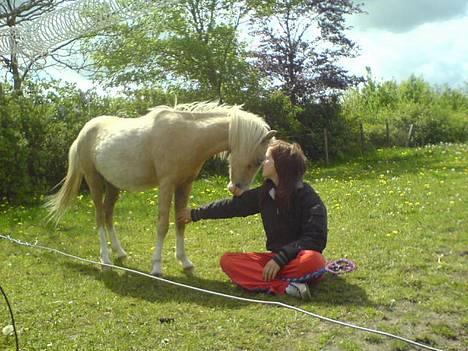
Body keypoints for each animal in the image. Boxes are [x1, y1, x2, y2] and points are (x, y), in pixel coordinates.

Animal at [44, 102, 274, 278]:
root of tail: (84, 132)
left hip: (113, 186)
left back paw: (120, 253)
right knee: (100, 217)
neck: (187, 136)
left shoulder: (184, 185)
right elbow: (163, 224)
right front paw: (156, 267)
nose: (236, 190)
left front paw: (185, 262)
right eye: (258, 160)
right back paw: (106, 260)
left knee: (108, 215)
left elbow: (180, 222)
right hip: (94, 182)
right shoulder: (167, 184)